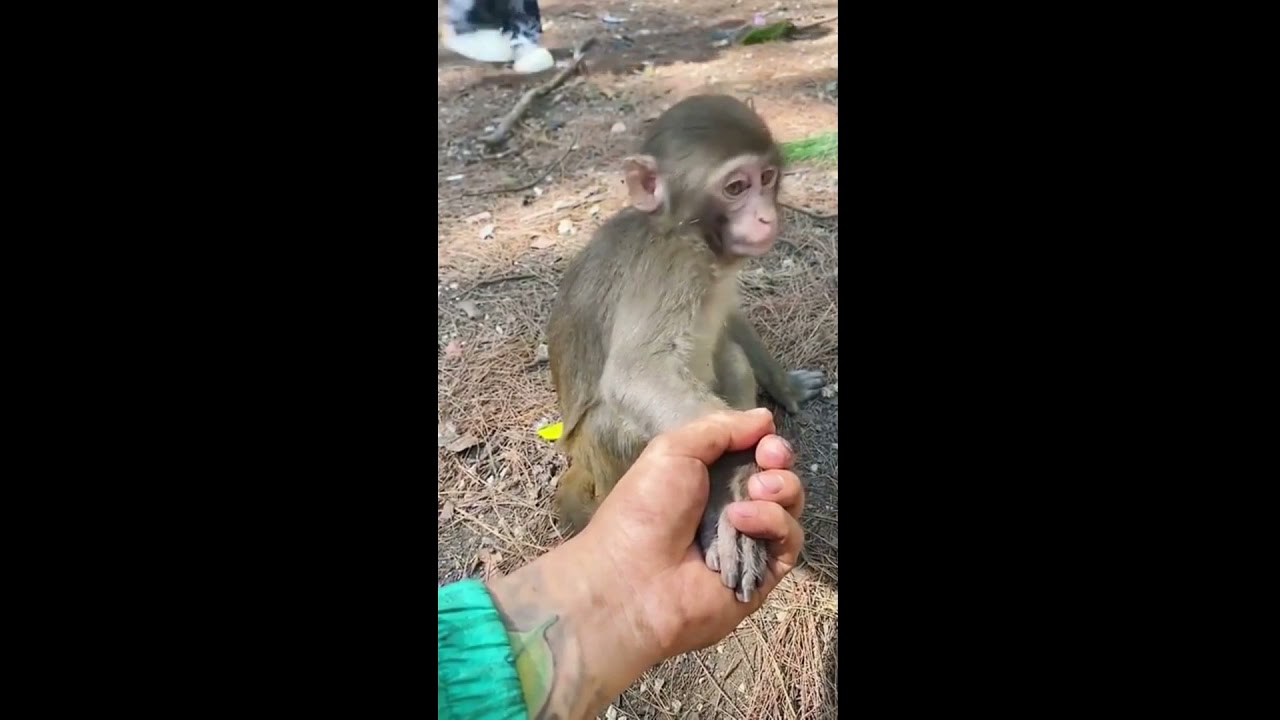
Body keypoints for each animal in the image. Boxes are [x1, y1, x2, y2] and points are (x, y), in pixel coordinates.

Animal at [545, 94, 825, 603]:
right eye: (736, 187)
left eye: (767, 178)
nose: (766, 216)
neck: (692, 237)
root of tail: (580, 464)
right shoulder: (667, 268)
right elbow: (637, 374)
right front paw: (732, 487)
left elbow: (730, 320)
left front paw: (786, 387)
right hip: (606, 454)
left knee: (729, 357)